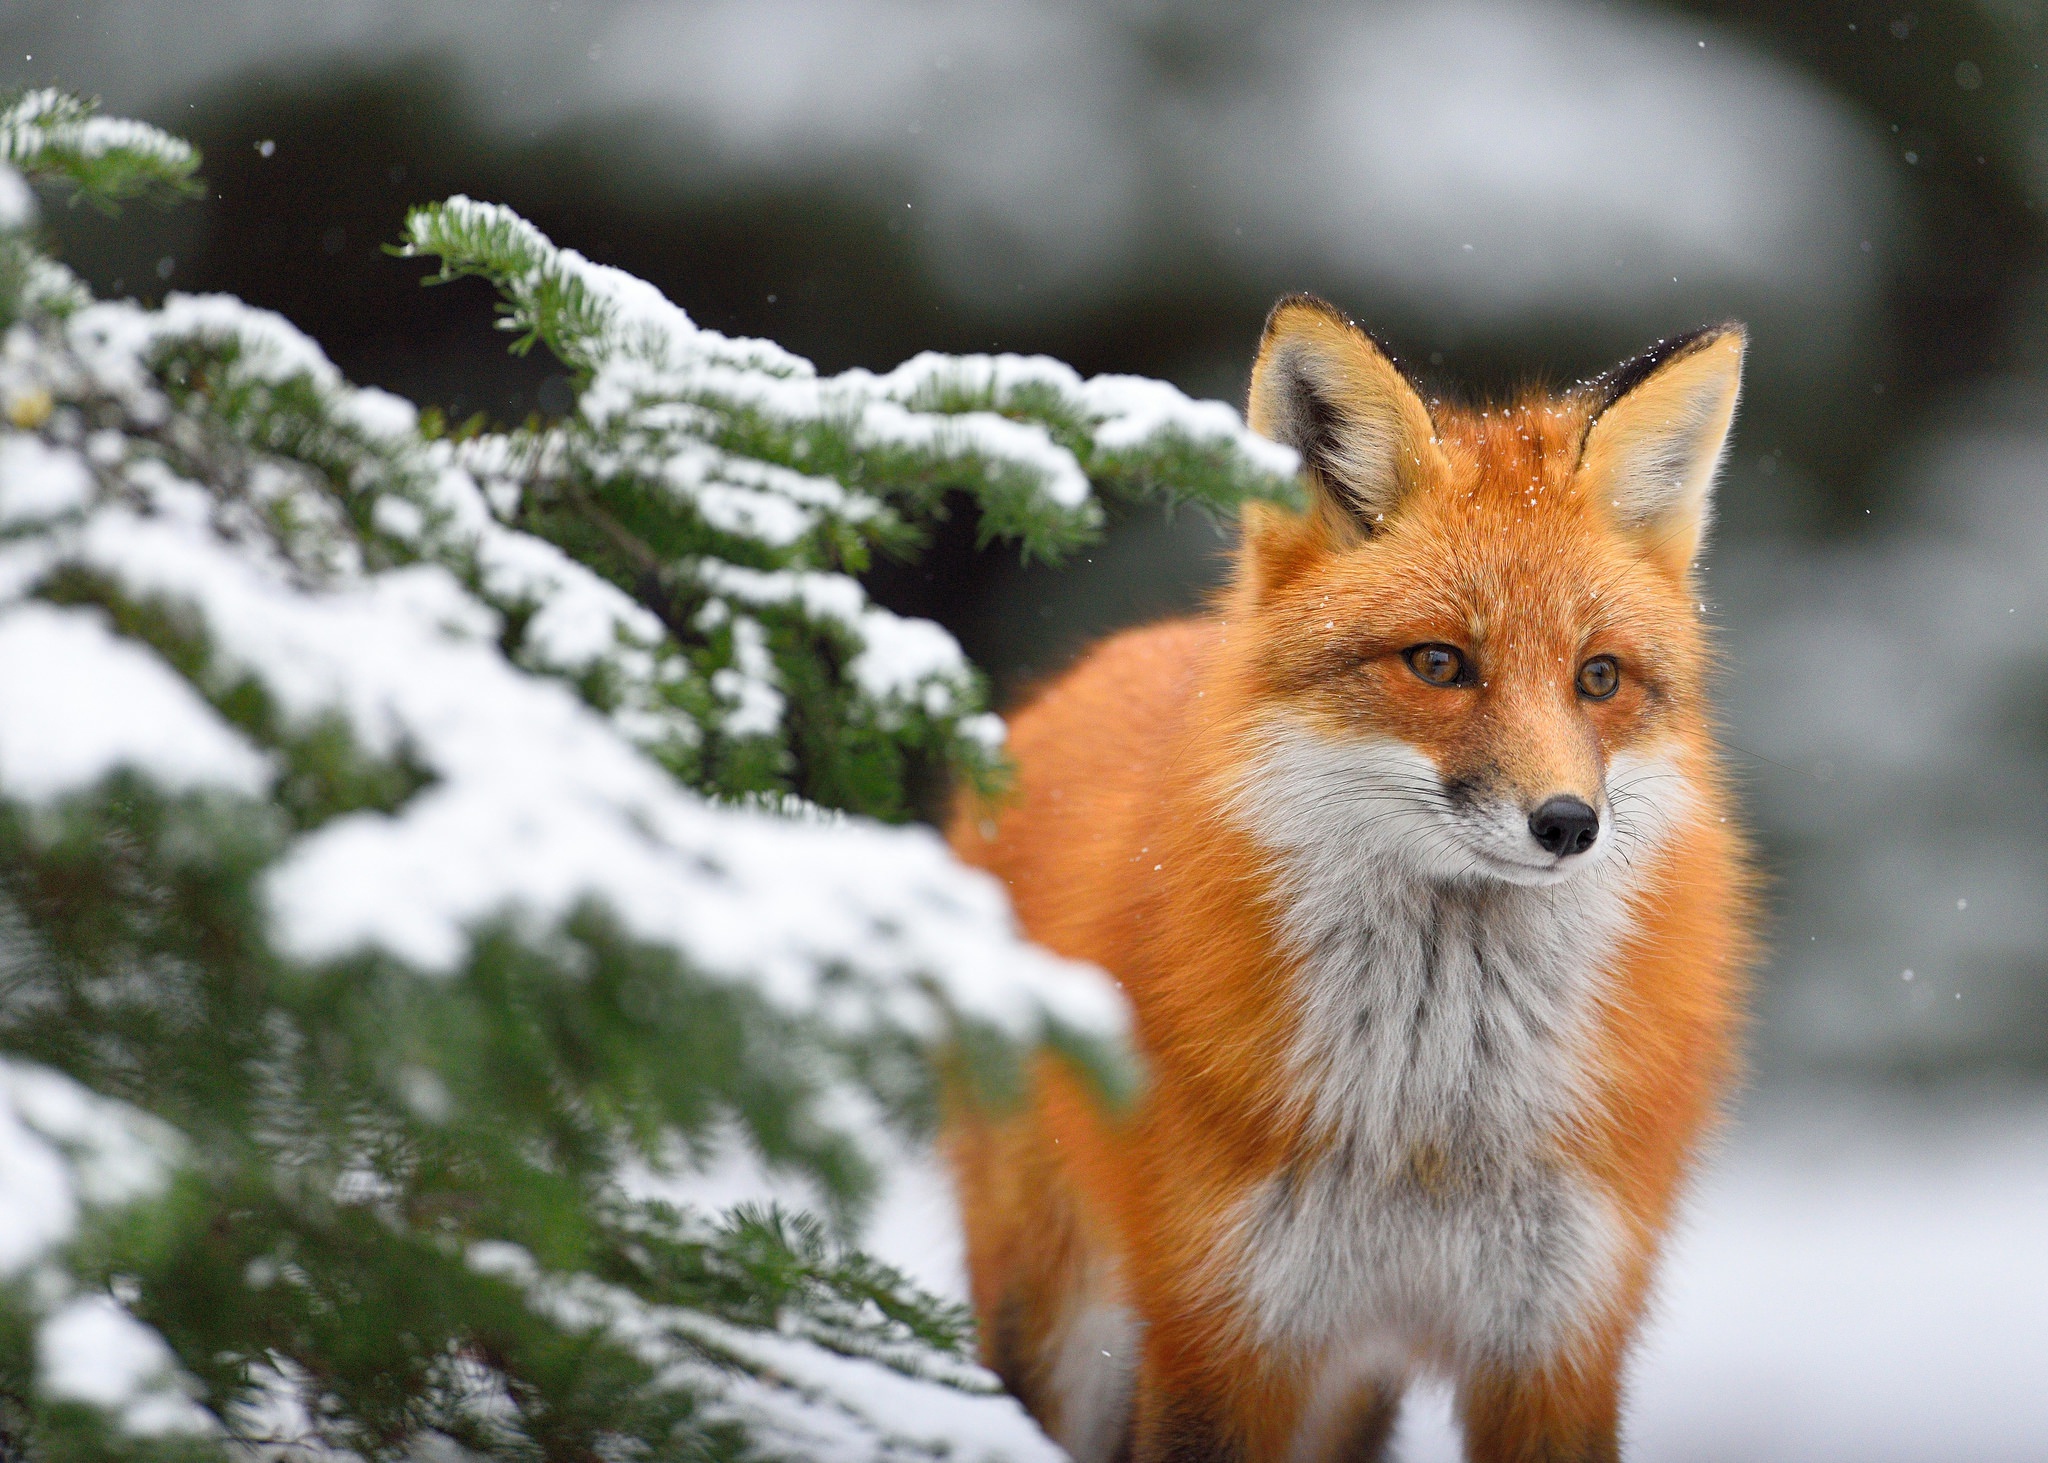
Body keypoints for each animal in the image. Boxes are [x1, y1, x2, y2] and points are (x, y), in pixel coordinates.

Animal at [950, 297, 1753, 1458]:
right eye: (1438, 664)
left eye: (1597, 677)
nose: (1568, 824)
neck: (1435, 1123)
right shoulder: (1222, 1327)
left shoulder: (1556, 1340)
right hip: (1061, 1319)